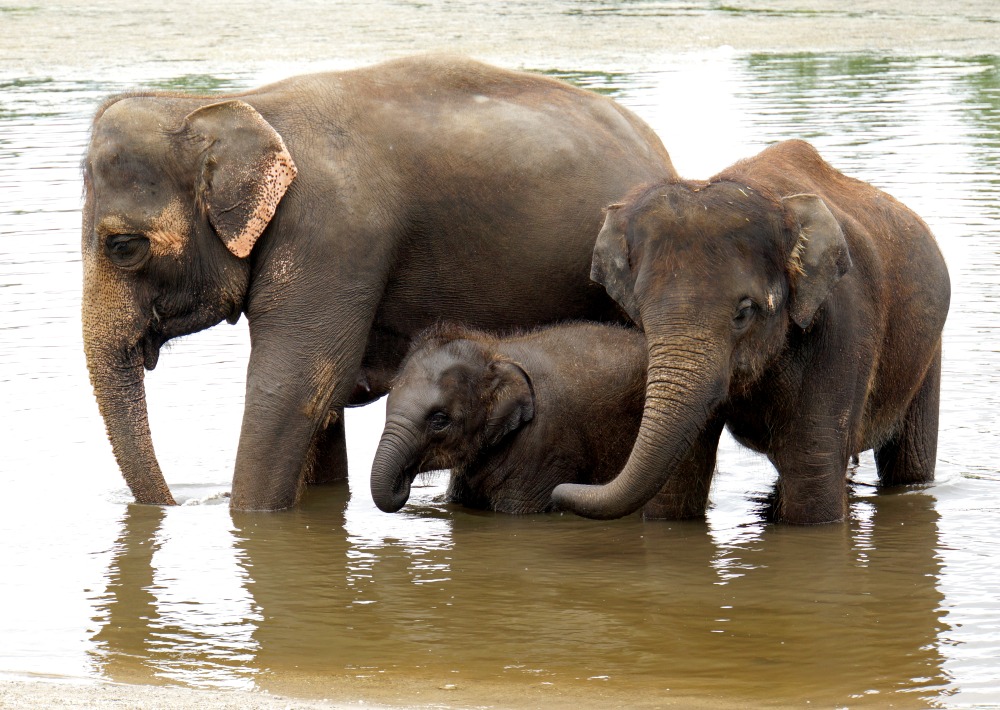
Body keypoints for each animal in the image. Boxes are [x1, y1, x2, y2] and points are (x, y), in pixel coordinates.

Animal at [552, 142, 948, 524]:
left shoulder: (844, 328)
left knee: (908, 461)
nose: (559, 492)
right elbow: (677, 482)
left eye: (743, 312)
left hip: (930, 352)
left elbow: (812, 480)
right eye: (640, 314)